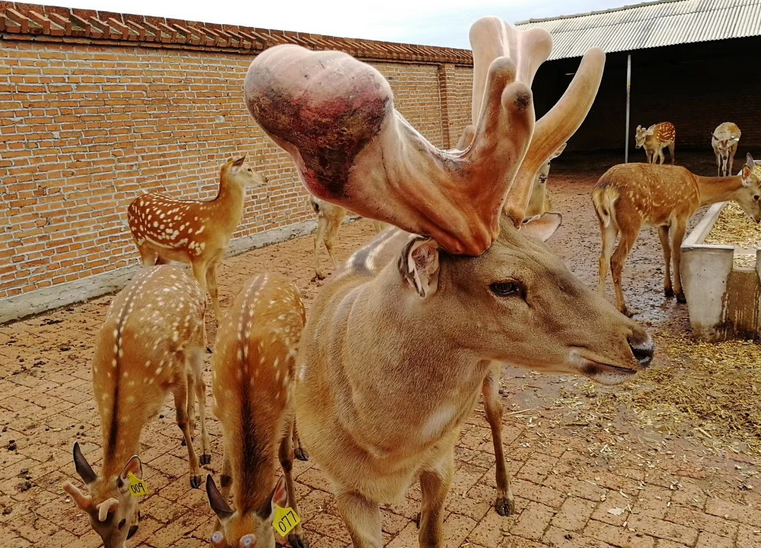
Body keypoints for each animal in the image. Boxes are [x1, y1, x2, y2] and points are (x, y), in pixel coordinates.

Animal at [62, 266, 209, 548]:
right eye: (93, 527)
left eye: (120, 522)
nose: (127, 533)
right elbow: (136, 457)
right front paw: (140, 513)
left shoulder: (174, 374)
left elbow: (180, 420)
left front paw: (195, 473)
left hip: (198, 340)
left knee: (201, 386)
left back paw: (205, 451)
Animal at [126, 154, 266, 326]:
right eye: (249, 168)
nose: (265, 178)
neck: (218, 222)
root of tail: (131, 205)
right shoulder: (197, 256)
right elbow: (201, 296)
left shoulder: (214, 260)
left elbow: (214, 290)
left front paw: (220, 320)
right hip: (140, 242)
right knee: (142, 274)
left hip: (165, 252)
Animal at [205, 274, 308, 548]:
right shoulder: (221, 412)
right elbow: (226, 476)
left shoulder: (285, 404)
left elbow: (285, 460)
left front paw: (297, 532)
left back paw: (301, 447)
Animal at [243, 18, 652, 548]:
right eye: (506, 285)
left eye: (552, 257)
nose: (642, 344)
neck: (384, 446)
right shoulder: (347, 489)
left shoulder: (443, 460)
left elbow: (432, 531)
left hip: (492, 374)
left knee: (496, 414)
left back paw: (504, 494)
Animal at [592, 154, 760, 316]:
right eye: (757, 196)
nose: (758, 219)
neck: (698, 190)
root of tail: (603, 190)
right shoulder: (680, 216)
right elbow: (676, 254)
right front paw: (680, 294)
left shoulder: (662, 223)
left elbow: (666, 253)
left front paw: (668, 290)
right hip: (631, 221)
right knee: (616, 259)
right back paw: (624, 308)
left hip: (607, 224)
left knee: (603, 259)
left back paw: (601, 304)